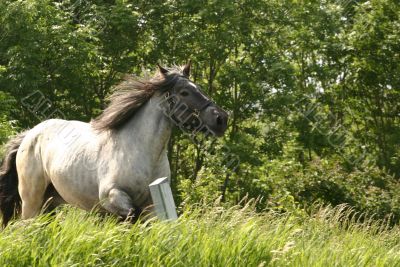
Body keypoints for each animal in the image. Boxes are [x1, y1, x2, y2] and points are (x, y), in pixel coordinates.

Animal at [0, 62, 228, 226]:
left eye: (199, 88)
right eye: (184, 92)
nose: (221, 119)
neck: (141, 151)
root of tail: (29, 135)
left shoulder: (152, 205)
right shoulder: (112, 197)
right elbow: (130, 216)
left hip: (50, 202)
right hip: (31, 200)